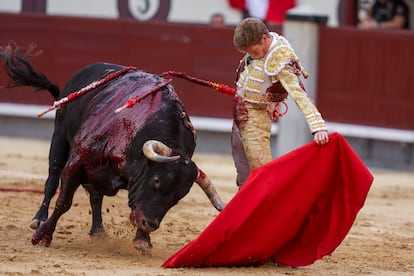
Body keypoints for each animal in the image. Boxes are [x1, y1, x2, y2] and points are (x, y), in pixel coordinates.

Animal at [0, 47, 223, 250]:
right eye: (157, 181)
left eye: (178, 196)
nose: (149, 224)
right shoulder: (77, 163)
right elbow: (64, 201)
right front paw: (43, 235)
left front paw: (142, 240)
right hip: (60, 138)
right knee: (52, 179)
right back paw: (39, 219)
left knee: (95, 196)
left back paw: (98, 232)